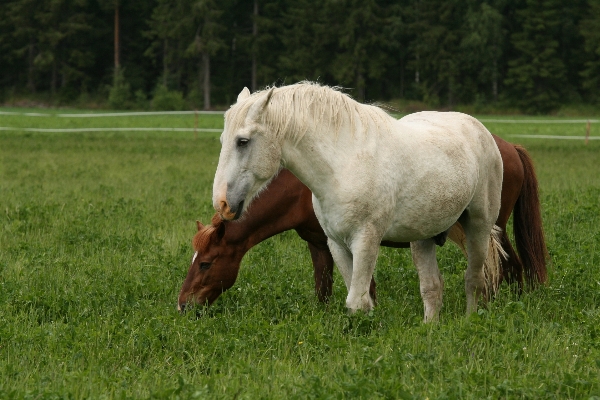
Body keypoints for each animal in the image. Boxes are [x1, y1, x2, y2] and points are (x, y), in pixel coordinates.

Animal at [176, 134, 548, 310]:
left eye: (206, 263)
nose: (183, 304)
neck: (304, 187)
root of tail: (509, 147)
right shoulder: (319, 242)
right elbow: (324, 287)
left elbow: (363, 286)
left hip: (489, 228)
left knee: (507, 267)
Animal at [213, 82, 504, 322]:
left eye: (243, 141)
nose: (222, 204)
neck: (343, 165)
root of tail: (480, 129)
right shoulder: (337, 244)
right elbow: (362, 302)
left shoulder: (365, 240)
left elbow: (356, 303)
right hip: (423, 237)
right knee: (432, 287)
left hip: (478, 226)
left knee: (474, 278)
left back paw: (469, 321)